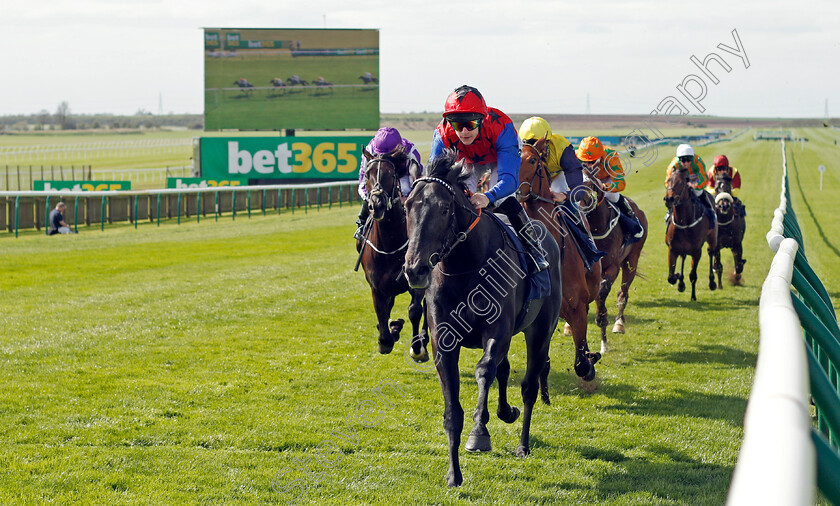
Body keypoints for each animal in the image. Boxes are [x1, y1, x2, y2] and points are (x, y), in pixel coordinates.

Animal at [358, 148, 430, 362]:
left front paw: (417, 347)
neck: (390, 245)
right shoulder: (377, 287)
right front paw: (389, 333)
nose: (377, 204)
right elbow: (382, 314)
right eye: (367, 175)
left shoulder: (417, 280)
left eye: (391, 175)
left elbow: (415, 310)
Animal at [404, 152, 560, 488]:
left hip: (540, 330)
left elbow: (484, 370)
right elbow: (453, 409)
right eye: (408, 205)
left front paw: (479, 433)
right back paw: (505, 412)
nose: (415, 269)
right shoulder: (442, 342)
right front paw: (454, 474)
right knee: (505, 369)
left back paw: (522, 444)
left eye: (444, 208)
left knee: (528, 386)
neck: (464, 267)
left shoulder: (497, 331)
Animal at [580, 171, 648, 352]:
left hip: (632, 261)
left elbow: (603, 290)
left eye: (589, 185)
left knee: (622, 294)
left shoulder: (613, 266)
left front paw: (602, 323)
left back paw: (619, 324)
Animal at [664, 166, 716, 300]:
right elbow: (670, 277)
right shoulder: (672, 249)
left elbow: (693, 275)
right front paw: (678, 278)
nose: (669, 199)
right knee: (683, 256)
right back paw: (681, 282)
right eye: (669, 180)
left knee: (711, 252)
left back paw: (712, 282)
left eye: (682, 183)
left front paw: (693, 296)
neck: (684, 222)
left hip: (712, 238)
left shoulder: (696, 251)